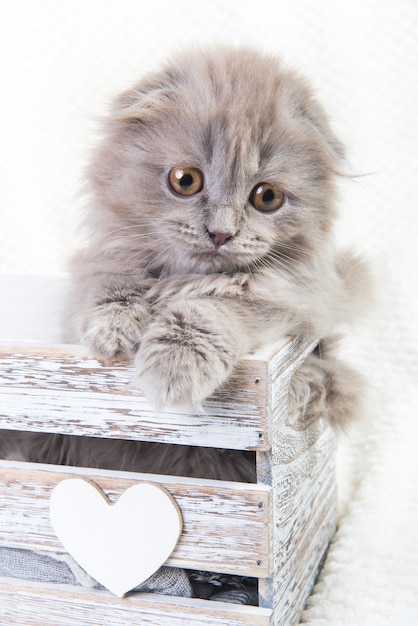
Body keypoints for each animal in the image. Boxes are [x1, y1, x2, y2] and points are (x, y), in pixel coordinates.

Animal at [3, 47, 370, 478]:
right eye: (185, 180)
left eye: (267, 197)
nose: (221, 233)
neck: (181, 279)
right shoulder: (100, 260)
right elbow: (108, 285)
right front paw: (113, 330)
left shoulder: (294, 298)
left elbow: (210, 307)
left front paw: (174, 366)